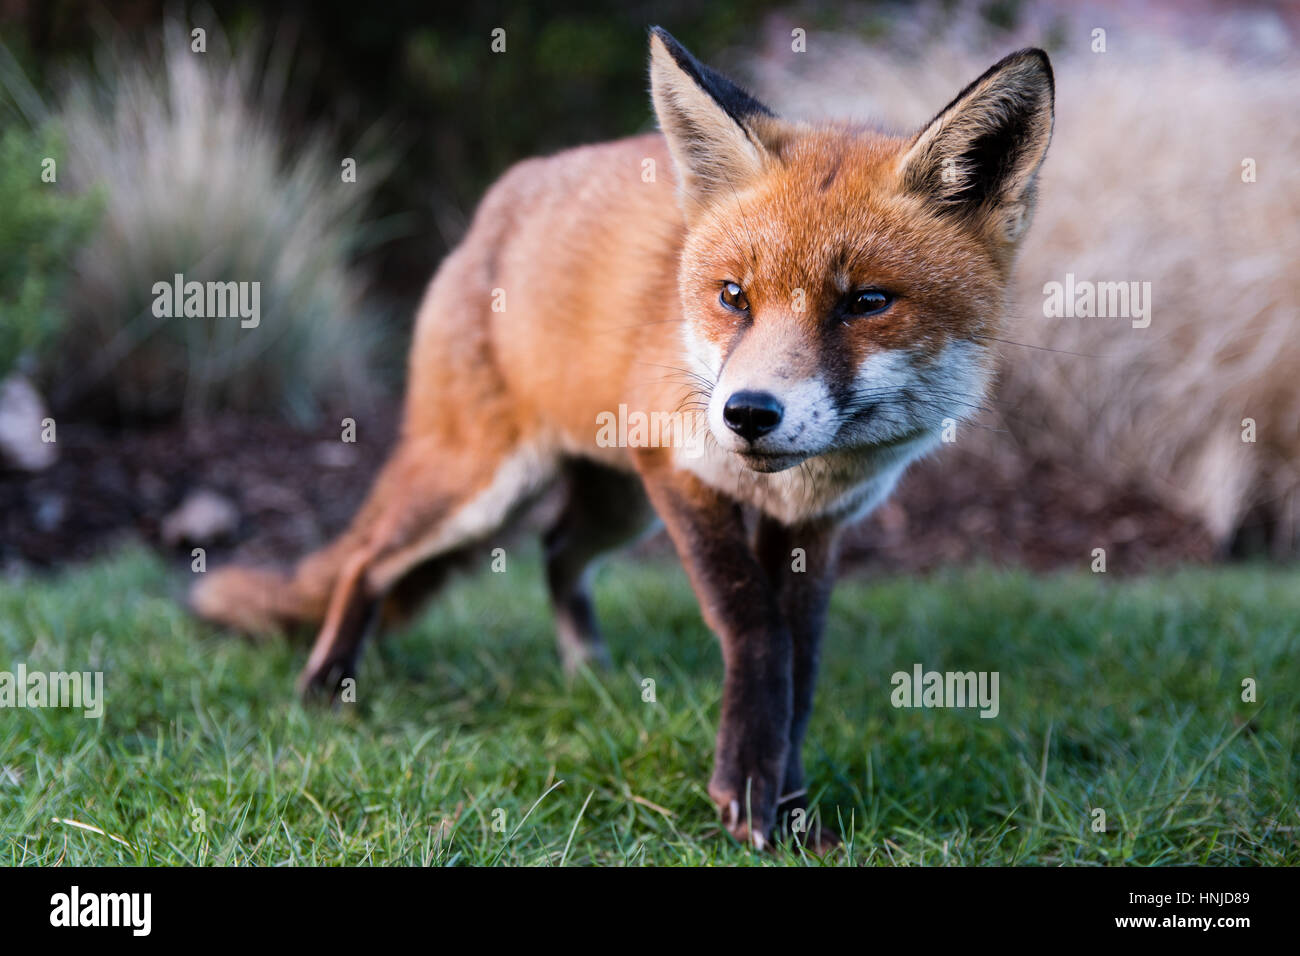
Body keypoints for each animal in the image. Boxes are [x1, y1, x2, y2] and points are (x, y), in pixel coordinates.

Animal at [188, 27, 1050, 853]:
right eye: (733, 296)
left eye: (868, 302)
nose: (747, 413)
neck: (796, 481)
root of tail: (498, 201)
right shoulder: (680, 470)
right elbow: (755, 629)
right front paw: (748, 794)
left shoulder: (818, 523)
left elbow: (800, 665)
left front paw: (793, 810)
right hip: (483, 485)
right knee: (366, 559)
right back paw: (326, 686)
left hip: (611, 506)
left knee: (557, 550)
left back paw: (587, 673)